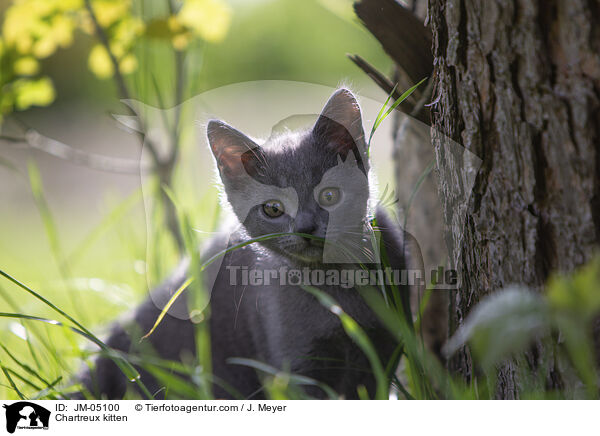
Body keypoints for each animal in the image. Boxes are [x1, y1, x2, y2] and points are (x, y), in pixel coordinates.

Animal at [78, 87, 418, 398]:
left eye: (330, 195)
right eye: (273, 208)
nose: (306, 227)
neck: (334, 287)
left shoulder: (385, 347)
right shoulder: (296, 366)